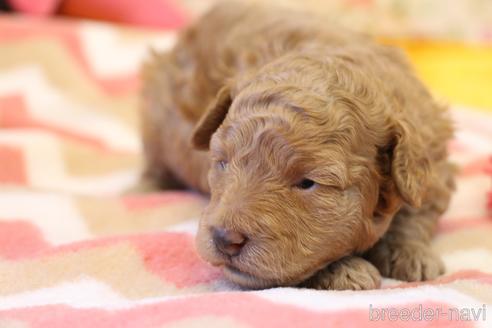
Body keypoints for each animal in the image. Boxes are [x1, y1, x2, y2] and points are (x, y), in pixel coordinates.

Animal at [138, 1, 454, 290]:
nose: (225, 238)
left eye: (307, 183)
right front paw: (343, 271)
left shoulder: (431, 163)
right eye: (222, 163)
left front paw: (411, 254)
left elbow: (417, 211)